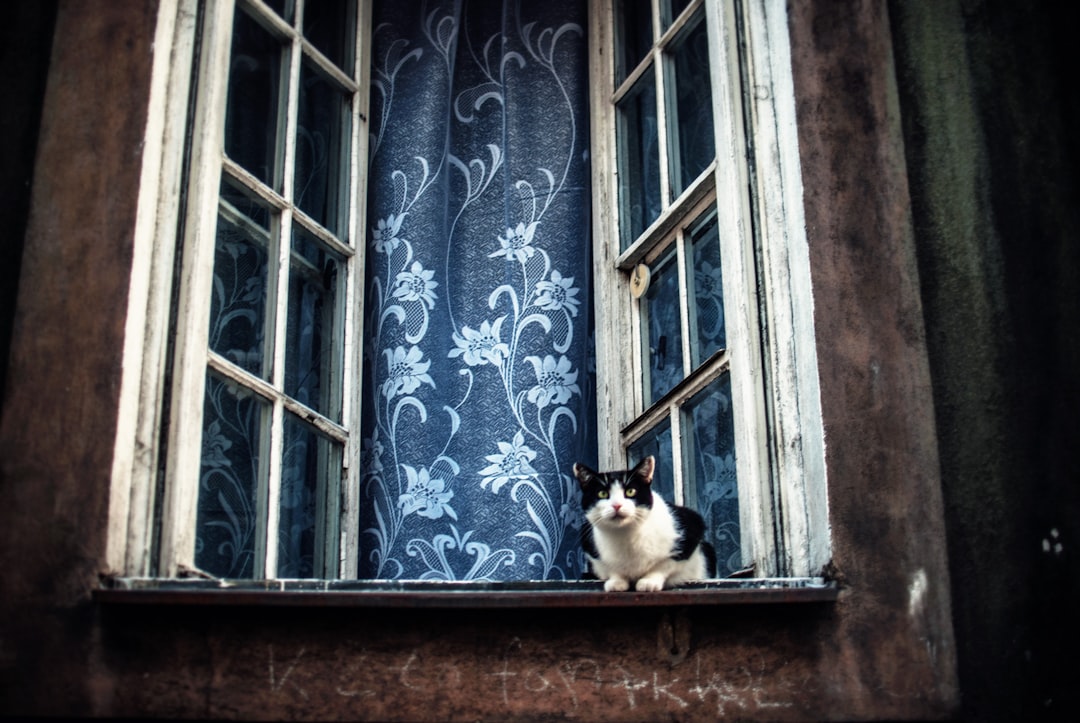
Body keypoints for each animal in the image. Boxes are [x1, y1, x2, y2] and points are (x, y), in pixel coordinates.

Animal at [574, 456, 717, 592]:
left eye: (630, 491)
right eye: (602, 493)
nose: (617, 505)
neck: (625, 534)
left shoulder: (692, 525)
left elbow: (666, 563)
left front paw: (649, 582)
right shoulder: (589, 544)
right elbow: (610, 568)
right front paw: (617, 581)